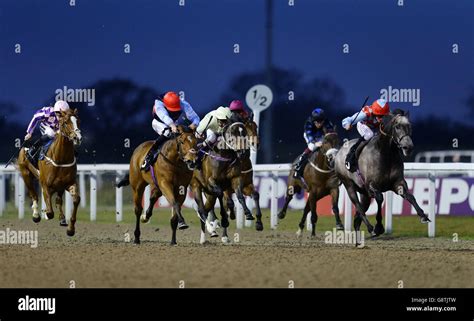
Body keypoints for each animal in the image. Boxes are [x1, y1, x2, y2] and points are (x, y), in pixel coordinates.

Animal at [16, 107, 81, 235]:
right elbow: (50, 212)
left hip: (59, 186)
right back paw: (36, 215)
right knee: (34, 195)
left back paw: (62, 219)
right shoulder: (45, 184)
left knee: (58, 200)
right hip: (26, 174)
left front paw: (70, 228)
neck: (60, 159)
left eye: (78, 121)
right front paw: (44, 213)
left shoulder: (69, 183)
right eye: (65, 122)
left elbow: (76, 200)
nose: (77, 137)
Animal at [334, 109, 430, 244]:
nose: (408, 147)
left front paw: (423, 216)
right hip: (349, 186)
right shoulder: (372, 185)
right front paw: (379, 227)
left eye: (409, 126)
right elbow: (380, 199)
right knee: (358, 206)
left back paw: (358, 238)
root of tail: (338, 152)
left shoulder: (398, 183)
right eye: (397, 126)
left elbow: (410, 197)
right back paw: (370, 228)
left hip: (364, 193)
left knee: (359, 214)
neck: (385, 154)